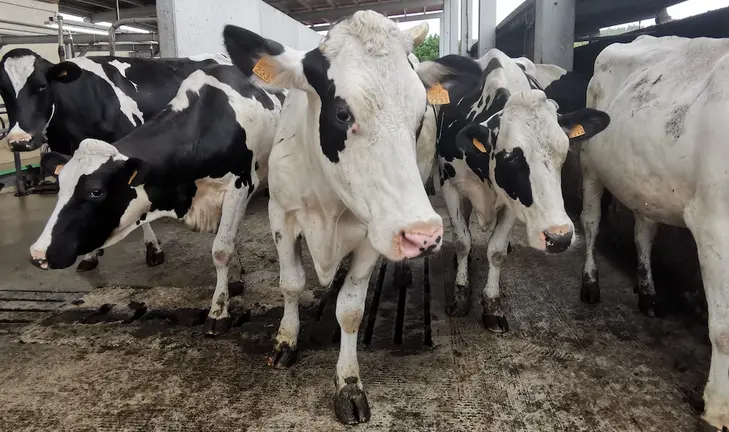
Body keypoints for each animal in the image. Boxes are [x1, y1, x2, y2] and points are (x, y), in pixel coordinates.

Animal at [28, 63, 284, 337]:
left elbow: (221, 249)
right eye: (60, 185)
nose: (37, 254)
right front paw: (234, 280)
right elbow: (228, 243)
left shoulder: (239, 187)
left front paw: (218, 310)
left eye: (96, 191)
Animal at [220, 12, 477, 424]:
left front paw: (349, 383)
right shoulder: (281, 214)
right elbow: (291, 283)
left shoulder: (372, 232)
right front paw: (286, 340)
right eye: (342, 113)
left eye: (420, 116)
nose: (423, 234)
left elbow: (351, 310)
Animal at [432, 51, 610, 332]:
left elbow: (496, 251)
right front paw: (460, 295)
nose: (559, 238)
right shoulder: (449, 184)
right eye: (512, 159)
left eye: (563, 152)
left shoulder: (512, 202)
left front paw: (492, 305)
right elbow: (462, 240)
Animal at [580, 35, 729, 431]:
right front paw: (718, 408)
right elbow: (723, 329)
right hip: (590, 165)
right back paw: (590, 285)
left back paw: (648, 294)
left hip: (643, 184)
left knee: (643, 233)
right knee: (590, 222)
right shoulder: (714, 225)